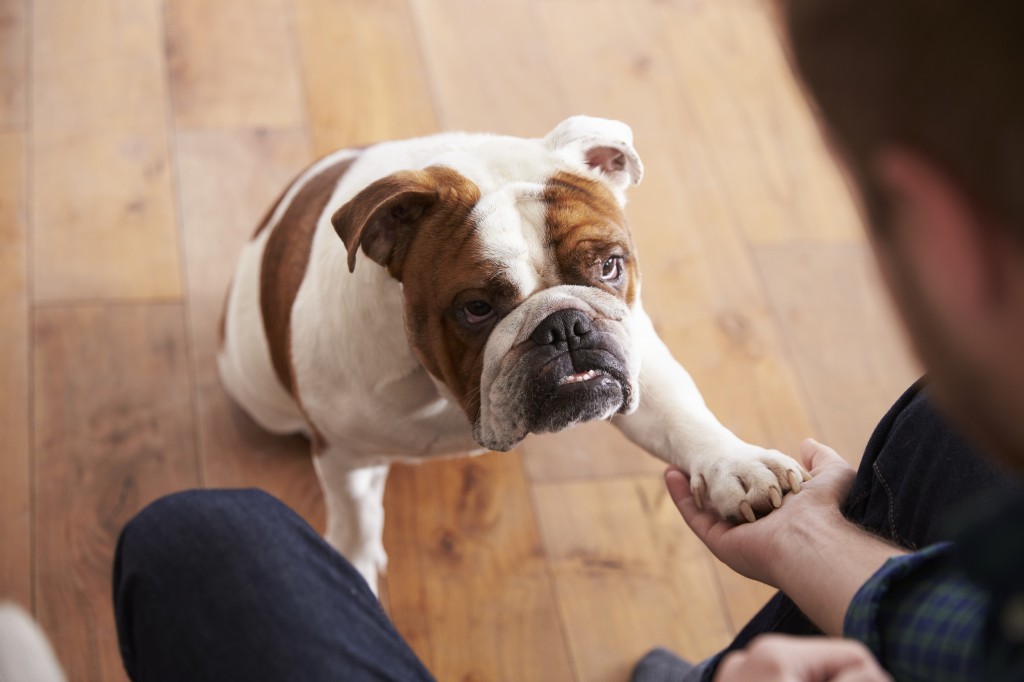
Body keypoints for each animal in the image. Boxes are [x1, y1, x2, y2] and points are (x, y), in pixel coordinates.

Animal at [220, 115, 811, 589]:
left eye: (609, 266)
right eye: (477, 308)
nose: (565, 325)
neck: (447, 396)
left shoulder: (642, 357)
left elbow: (684, 419)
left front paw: (737, 466)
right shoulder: (345, 456)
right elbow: (356, 521)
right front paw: (349, 572)